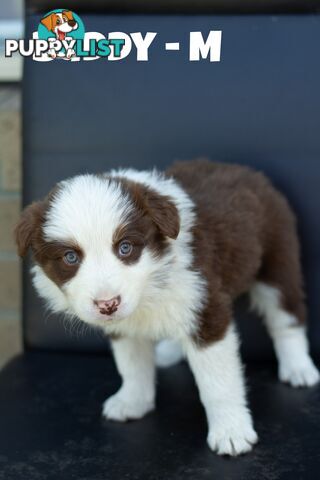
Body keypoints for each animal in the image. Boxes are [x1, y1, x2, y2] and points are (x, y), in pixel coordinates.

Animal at [15, 160, 320, 454]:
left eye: (125, 248)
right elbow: (132, 364)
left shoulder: (206, 307)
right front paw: (133, 401)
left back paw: (298, 368)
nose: (107, 305)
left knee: (287, 317)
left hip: (277, 260)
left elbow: (218, 381)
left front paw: (231, 432)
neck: (150, 284)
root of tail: (251, 173)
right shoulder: (128, 325)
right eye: (70, 257)